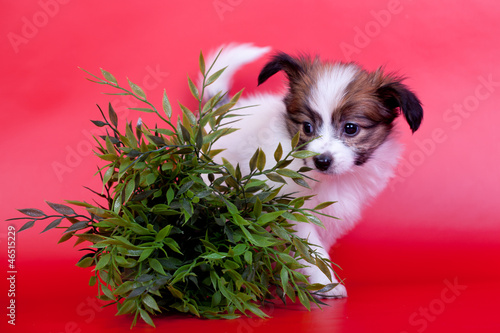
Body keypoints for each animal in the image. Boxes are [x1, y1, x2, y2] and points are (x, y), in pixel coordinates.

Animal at [201, 43, 424, 296]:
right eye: (307, 127)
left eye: (351, 128)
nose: (322, 161)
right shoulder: (291, 209)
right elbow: (311, 249)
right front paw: (327, 283)